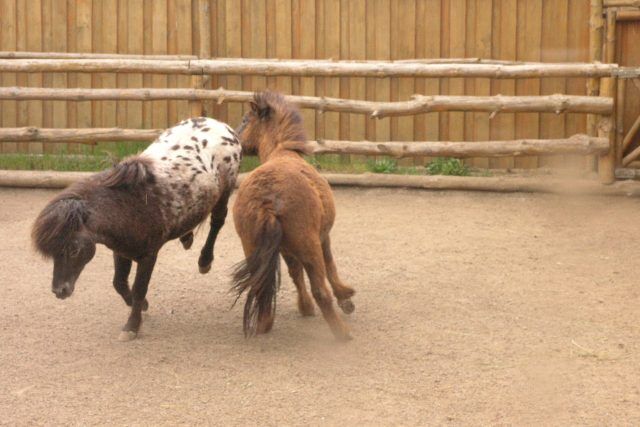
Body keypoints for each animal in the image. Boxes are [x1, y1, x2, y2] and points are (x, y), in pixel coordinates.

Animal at [232, 90, 358, 342]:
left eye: (245, 120)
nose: (235, 140)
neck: (282, 152)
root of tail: (268, 200)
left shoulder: (285, 248)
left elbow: (295, 274)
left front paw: (305, 307)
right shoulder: (323, 238)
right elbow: (330, 267)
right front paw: (345, 297)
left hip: (252, 247)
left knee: (261, 287)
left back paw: (264, 322)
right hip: (309, 246)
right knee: (321, 290)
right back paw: (342, 333)